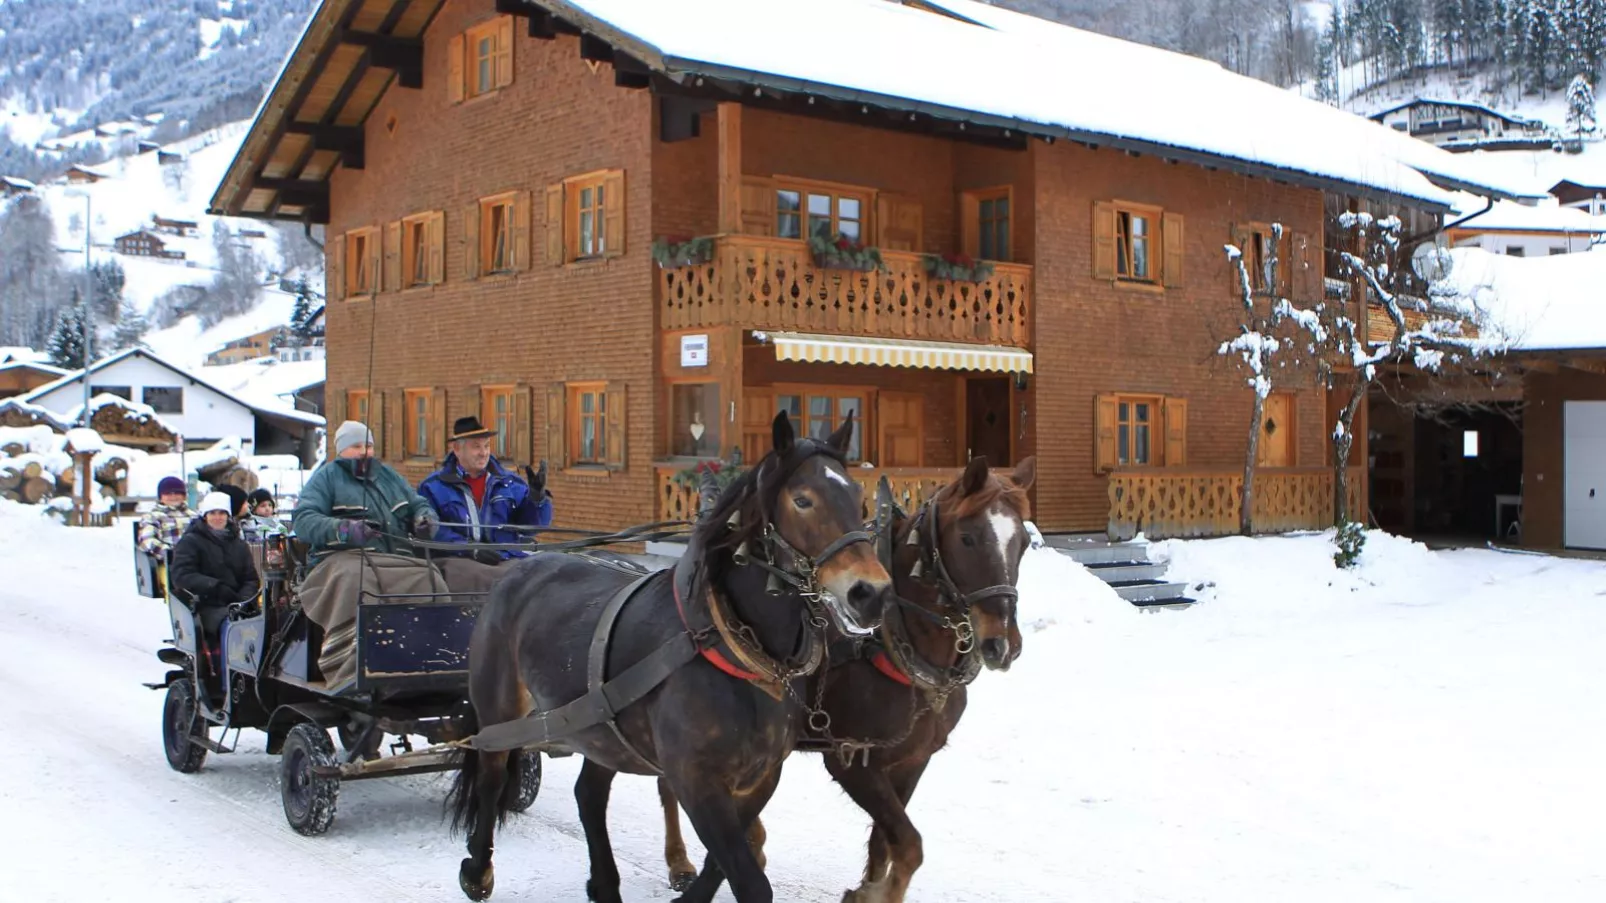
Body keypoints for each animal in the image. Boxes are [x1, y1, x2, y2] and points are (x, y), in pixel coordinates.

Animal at [446, 411, 892, 893]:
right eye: (803, 500)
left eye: (858, 498)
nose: (872, 593)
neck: (726, 644)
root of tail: (516, 569)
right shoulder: (696, 781)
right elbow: (747, 877)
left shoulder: (759, 778)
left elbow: (727, 862)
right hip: (499, 710)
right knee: (491, 776)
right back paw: (477, 870)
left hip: (602, 729)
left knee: (589, 793)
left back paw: (604, 883)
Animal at [658, 456, 1034, 899]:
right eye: (968, 538)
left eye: (1024, 542)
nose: (1003, 643)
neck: (894, 638)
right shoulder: (851, 760)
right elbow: (908, 845)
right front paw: (872, 893)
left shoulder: (912, 761)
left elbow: (885, 844)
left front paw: (867, 889)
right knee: (669, 785)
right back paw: (681, 861)